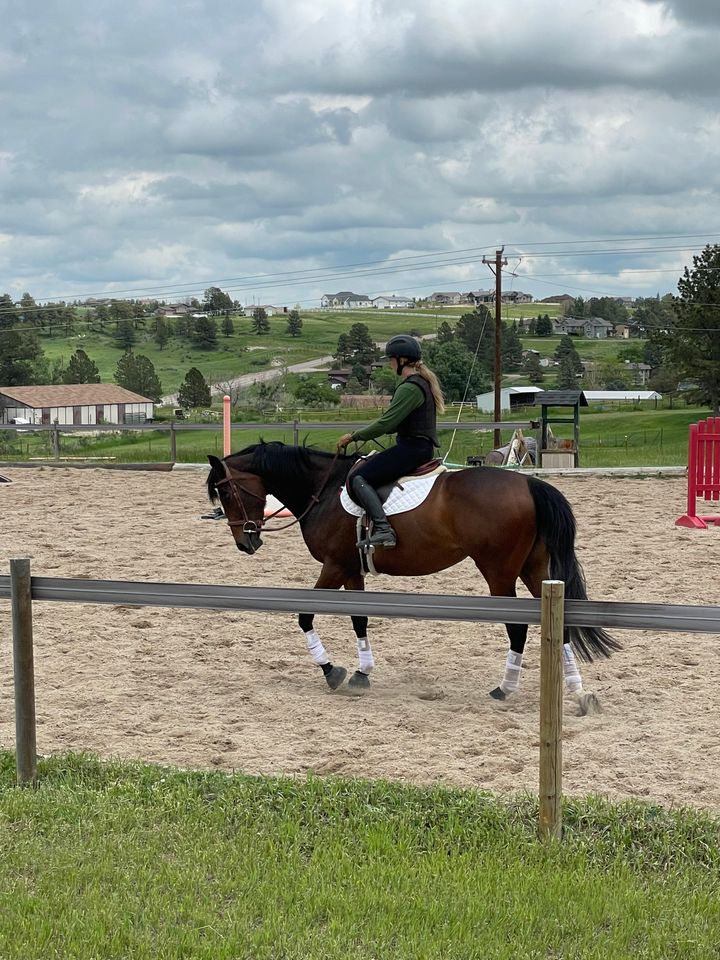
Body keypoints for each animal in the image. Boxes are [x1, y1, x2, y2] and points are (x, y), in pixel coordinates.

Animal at [206, 441, 619, 711]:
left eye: (226, 492)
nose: (245, 542)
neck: (322, 488)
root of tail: (528, 483)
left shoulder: (334, 566)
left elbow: (305, 616)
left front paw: (331, 671)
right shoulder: (351, 570)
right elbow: (359, 619)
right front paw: (361, 673)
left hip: (499, 572)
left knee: (517, 627)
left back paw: (505, 689)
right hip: (535, 570)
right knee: (559, 624)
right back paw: (578, 692)